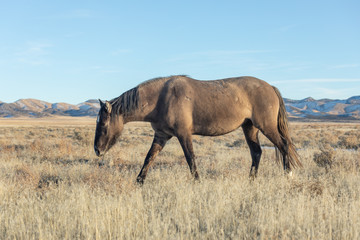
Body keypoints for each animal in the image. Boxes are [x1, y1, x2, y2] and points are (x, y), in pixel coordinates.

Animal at [93, 75, 300, 184]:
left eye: (103, 124)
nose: (97, 150)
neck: (161, 98)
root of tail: (270, 87)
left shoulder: (184, 134)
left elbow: (190, 159)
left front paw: (197, 182)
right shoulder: (161, 136)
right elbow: (149, 158)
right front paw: (139, 182)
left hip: (266, 126)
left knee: (283, 145)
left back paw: (288, 175)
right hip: (249, 127)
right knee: (256, 152)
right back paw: (251, 180)